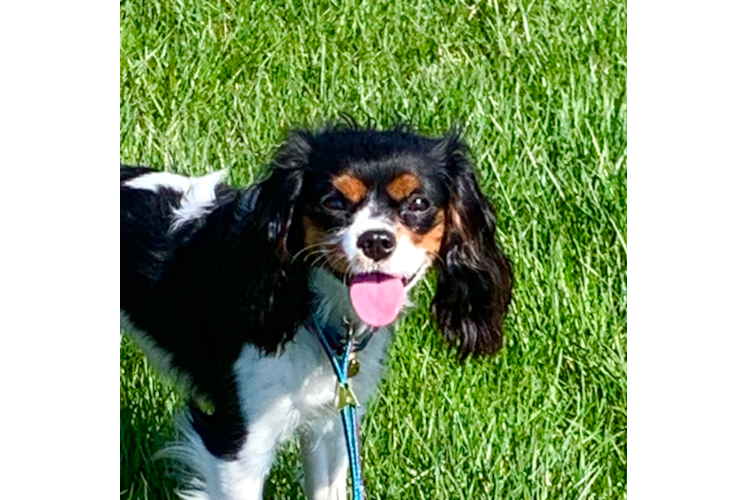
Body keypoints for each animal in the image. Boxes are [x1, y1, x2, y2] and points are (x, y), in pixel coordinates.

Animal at [120, 123, 512, 498]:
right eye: (334, 202)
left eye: (418, 203)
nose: (375, 239)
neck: (317, 309)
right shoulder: (237, 445)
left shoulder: (331, 421)